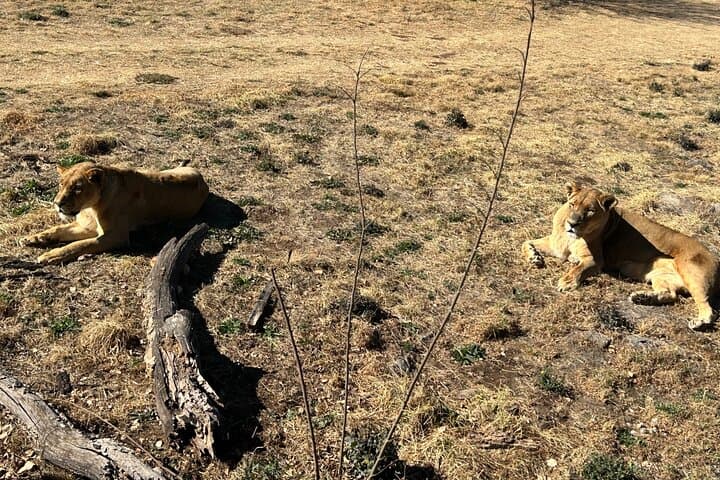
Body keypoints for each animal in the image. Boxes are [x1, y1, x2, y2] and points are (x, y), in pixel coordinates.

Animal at [24, 162, 209, 264]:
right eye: (61, 184)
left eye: (77, 188)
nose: (57, 204)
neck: (90, 207)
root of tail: (202, 179)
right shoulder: (86, 227)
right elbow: (58, 230)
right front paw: (33, 238)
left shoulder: (116, 236)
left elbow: (80, 245)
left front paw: (51, 255)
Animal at [523, 182, 719, 330]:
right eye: (572, 205)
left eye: (590, 210)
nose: (572, 224)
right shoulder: (556, 246)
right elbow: (525, 242)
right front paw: (534, 257)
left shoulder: (595, 260)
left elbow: (578, 269)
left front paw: (566, 282)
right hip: (660, 277)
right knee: (670, 295)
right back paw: (642, 298)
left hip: (692, 274)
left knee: (709, 309)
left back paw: (699, 322)